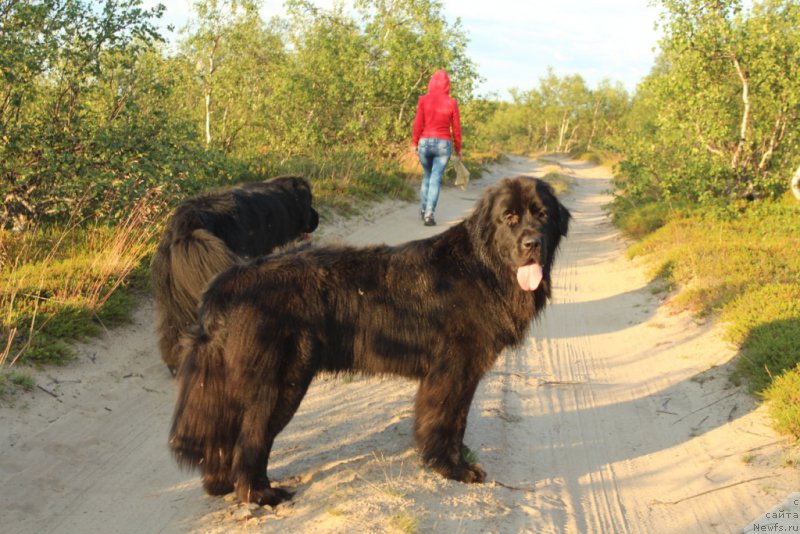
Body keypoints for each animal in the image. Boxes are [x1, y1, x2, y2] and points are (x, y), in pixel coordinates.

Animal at [150, 177, 318, 376]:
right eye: (310, 201)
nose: (317, 217)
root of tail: (187, 226)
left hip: (172, 294)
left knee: (174, 329)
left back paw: (177, 364)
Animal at [170, 176, 568, 506]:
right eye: (509, 217)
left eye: (542, 215)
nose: (532, 243)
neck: (484, 268)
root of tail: (230, 278)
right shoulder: (452, 370)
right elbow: (444, 422)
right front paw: (451, 469)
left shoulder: (464, 373)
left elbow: (456, 421)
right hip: (281, 382)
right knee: (251, 437)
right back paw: (260, 494)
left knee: (224, 434)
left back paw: (221, 484)